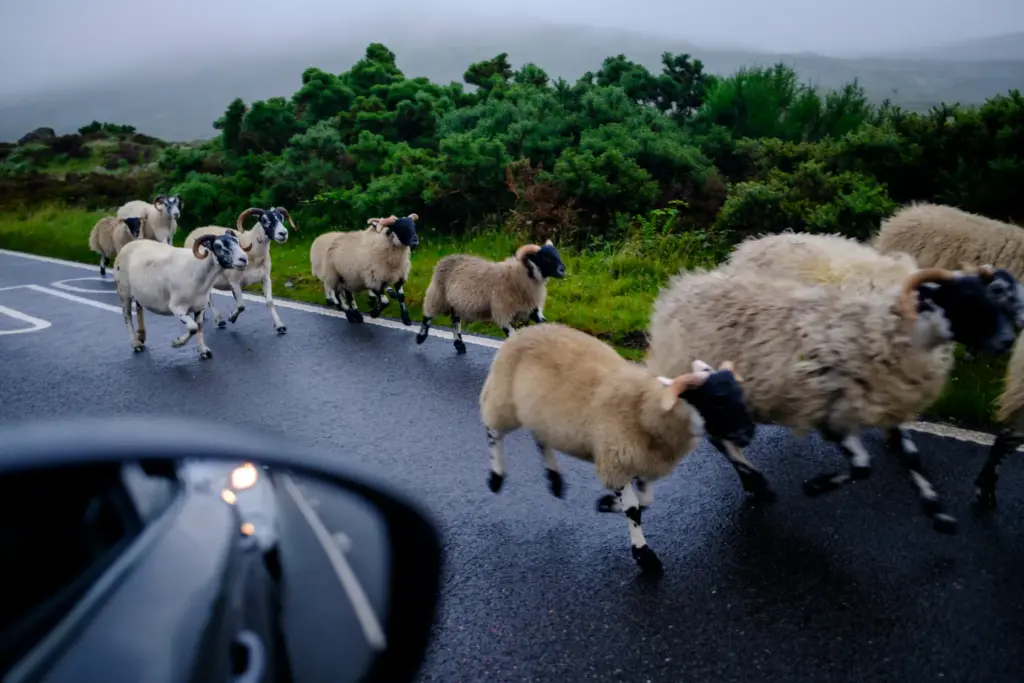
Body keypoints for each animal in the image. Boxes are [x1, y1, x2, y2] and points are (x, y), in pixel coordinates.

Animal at [113, 230, 251, 360]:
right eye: (218, 246)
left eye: (237, 241)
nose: (244, 259)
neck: (197, 271)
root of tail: (128, 245)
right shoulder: (176, 307)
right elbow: (193, 327)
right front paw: (176, 343)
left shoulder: (200, 307)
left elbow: (199, 327)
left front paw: (203, 351)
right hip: (124, 291)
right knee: (127, 316)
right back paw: (136, 343)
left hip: (140, 293)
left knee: (139, 308)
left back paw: (141, 336)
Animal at [183, 206, 297, 335]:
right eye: (264, 220)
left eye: (282, 218)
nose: (283, 233)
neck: (254, 253)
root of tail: (193, 232)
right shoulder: (234, 282)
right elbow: (241, 306)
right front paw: (231, 318)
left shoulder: (266, 278)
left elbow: (270, 302)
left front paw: (279, 326)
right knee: (208, 298)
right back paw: (219, 320)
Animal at [415, 240, 566, 354]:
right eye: (546, 257)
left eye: (557, 254)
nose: (563, 269)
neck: (523, 275)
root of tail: (447, 258)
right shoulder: (503, 313)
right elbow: (513, 336)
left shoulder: (533, 310)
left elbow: (544, 325)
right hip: (437, 294)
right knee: (428, 315)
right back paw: (421, 337)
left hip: (456, 302)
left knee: (455, 321)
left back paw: (460, 345)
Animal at [479, 322, 755, 574]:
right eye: (716, 400)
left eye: (739, 394)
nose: (748, 434)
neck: (644, 409)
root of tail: (523, 331)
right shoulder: (616, 463)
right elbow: (634, 510)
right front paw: (645, 557)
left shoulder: (646, 464)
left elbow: (645, 501)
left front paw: (606, 504)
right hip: (503, 401)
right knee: (493, 432)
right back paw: (496, 477)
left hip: (541, 414)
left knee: (540, 439)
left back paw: (555, 480)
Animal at [643, 262, 1020, 534]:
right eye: (968, 300)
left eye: (995, 298)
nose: (1007, 342)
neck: (888, 332)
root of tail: (677, 289)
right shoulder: (831, 413)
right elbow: (863, 466)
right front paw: (816, 486)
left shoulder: (885, 405)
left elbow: (911, 458)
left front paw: (937, 511)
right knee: (719, 439)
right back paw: (757, 484)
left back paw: (754, 485)